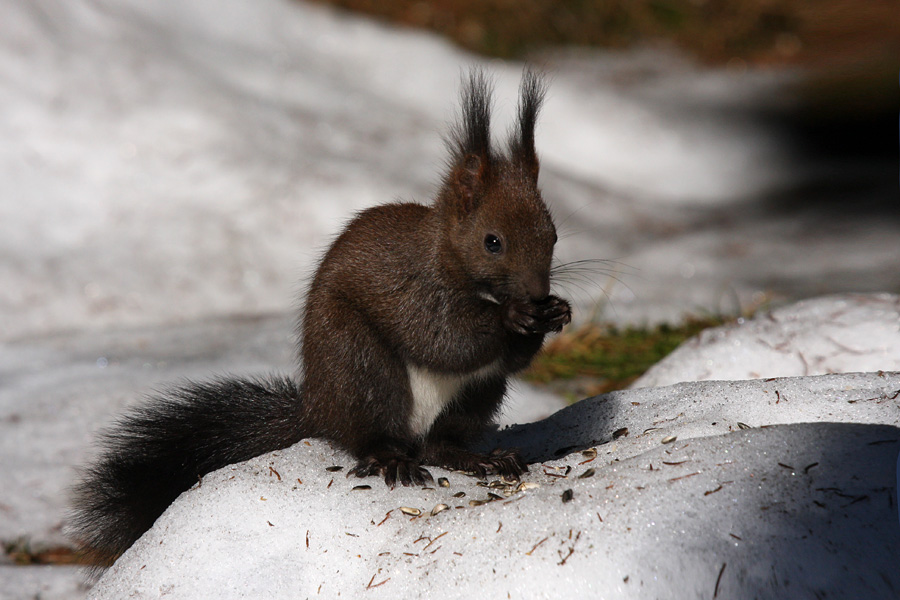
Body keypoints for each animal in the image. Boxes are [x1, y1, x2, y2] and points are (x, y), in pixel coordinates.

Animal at [74, 69, 572, 568]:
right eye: (492, 242)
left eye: (553, 235)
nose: (537, 293)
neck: (450, 261)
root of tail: (317, 407)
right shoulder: (414, 289)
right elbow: (442, 338)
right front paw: (514, 314)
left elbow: (508, 359)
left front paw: (556, 313)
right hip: (363, 368)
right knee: (373, 435)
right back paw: (391, 459)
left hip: (475, 396)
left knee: (438, 444)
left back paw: (480, 458)